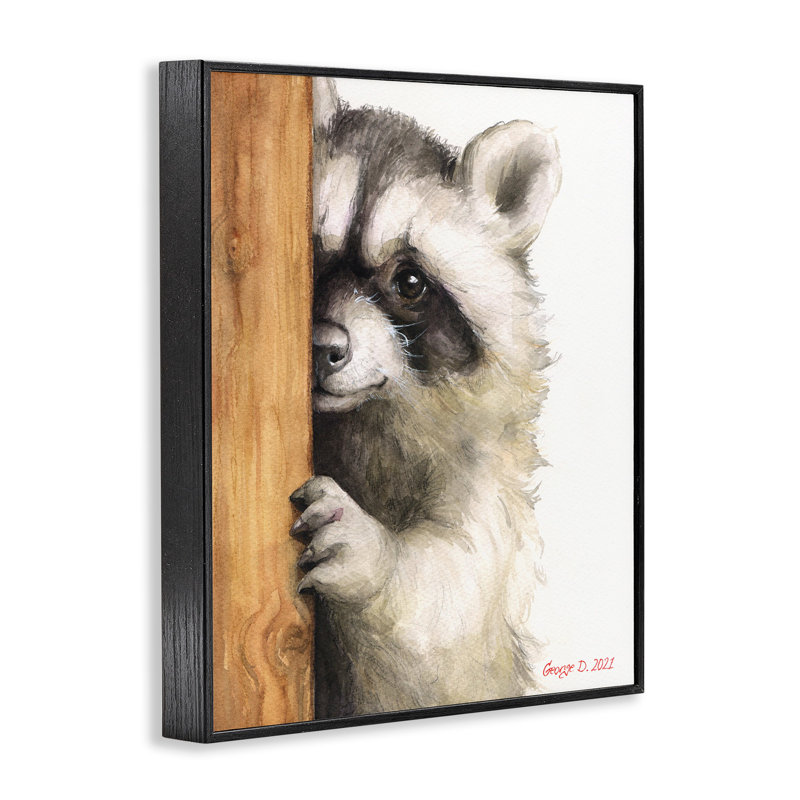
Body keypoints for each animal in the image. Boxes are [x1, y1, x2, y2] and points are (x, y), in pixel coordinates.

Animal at [289, 78, 562, 718]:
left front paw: (374, 558)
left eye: (409, 282)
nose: (322, 348)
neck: (359, 421)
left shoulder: (488, 479)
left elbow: (450, 611)